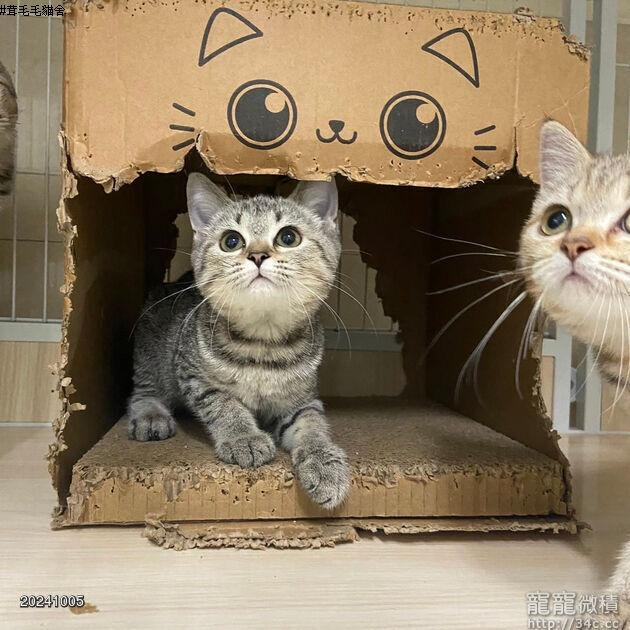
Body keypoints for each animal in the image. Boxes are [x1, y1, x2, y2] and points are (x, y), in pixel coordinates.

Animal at [127, 173, 350, 509]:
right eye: (231, 241)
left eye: (288, 237)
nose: (257, 255)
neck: (263, 344)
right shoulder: (190, 372)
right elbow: (224, 403)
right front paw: (244, 438)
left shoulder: (301, 398)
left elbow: (310, 423)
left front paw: (324, 462)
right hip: (150, 356)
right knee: (141, 392)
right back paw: (151, 416)